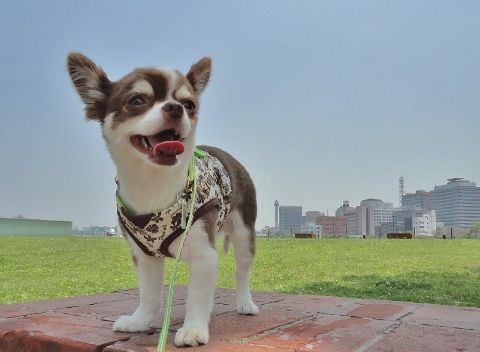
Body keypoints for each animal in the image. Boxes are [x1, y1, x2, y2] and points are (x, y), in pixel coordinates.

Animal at [66, 53, 258, 348]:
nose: (176, 108)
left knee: (242, 271)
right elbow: (150, 294)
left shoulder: (204, 254)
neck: (154, 184)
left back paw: (245, 302)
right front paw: (140, 321)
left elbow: (196, 296)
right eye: (137, 100)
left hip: (244, 232)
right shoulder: (144, 256)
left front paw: (194, 329)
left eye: (189, 104)